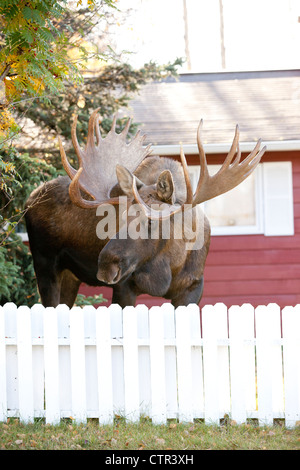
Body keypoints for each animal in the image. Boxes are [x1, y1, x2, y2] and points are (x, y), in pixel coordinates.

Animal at [24, 109, 266, 308]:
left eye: (150, 221)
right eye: (118, 219)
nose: (105, 266)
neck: (170, 265)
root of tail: (30, 199)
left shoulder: (194, 287)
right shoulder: (123, 287)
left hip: (70, 276)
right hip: (44, 264)